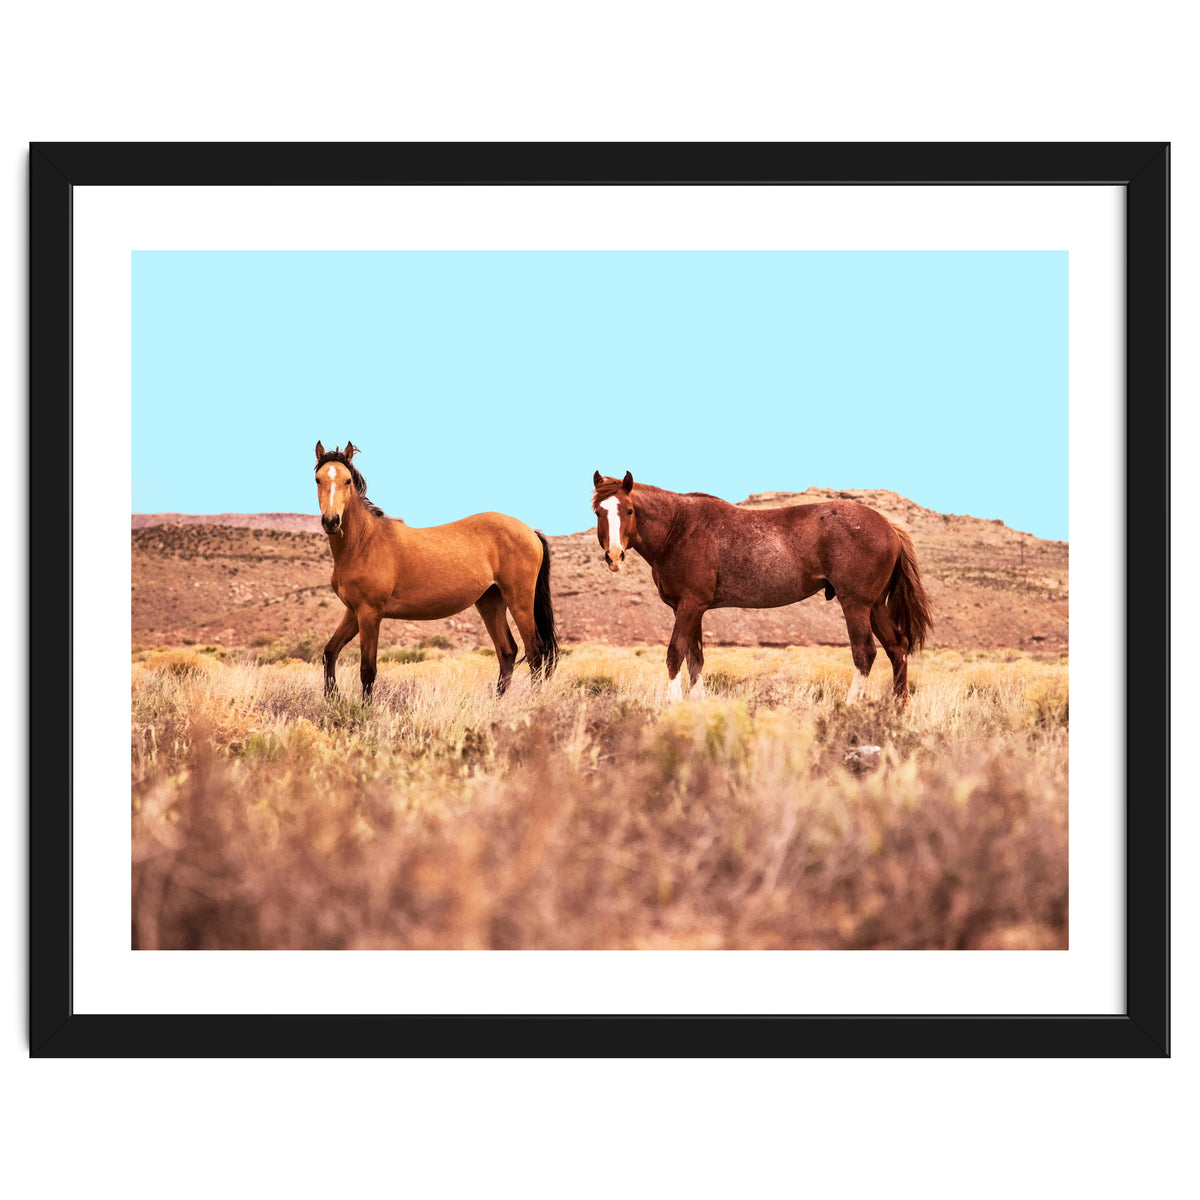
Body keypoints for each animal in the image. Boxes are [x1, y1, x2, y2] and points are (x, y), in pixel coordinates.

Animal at [313, 440, 559, 700]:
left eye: (347, 480)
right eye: (318, 479)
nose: (331, 521)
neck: (364, 542)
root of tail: (530, 531)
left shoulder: (370, 613)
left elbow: (367, 670)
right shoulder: (354, 612)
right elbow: (329, 652)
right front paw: (332, 697)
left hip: (519, 601)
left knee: (535, 653)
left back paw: (532, 701)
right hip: (490, 602)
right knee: (507, 651)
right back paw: (498, 703)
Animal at [591, 471, 932, 705]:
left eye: (629, 510)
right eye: (598, 512)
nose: (614, 556)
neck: (679, 528)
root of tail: (888, 527)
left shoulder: (690, 606)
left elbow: (675, 653)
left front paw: (673, 705)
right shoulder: (691, 609)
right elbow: (695, 659)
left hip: (856, 605)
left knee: (865, 653)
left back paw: (850, 707)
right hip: (874, 606)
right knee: (897, 648)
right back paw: (897, 709)